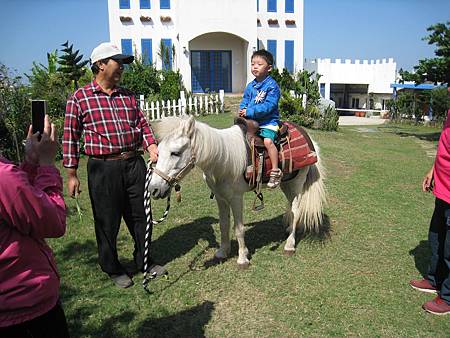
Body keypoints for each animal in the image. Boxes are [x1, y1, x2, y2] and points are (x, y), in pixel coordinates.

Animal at [148, 117, 326, 268]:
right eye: (159, 150)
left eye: (176, 152)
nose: (153, 189)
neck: (222, 159)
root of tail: (308, 138)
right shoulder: (220, 198)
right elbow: (224, 224)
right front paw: (223, 252)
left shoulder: (236, 198)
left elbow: (238, 228)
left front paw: (242, 259)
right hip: (286, 183)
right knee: (290, 206)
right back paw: (289, 229)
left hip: (297, 183)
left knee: (296, 210)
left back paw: (290, 245)